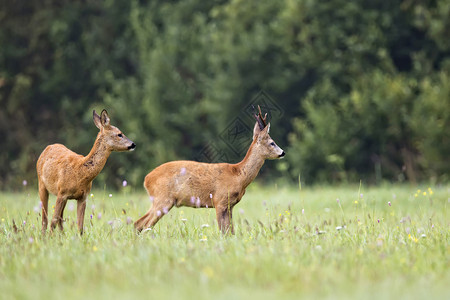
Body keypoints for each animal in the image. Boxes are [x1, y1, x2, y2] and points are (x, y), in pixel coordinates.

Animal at [134, 106, 284, 234]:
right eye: (272, 143)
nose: (283, 153)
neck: (239, 175)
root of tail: (146, 179)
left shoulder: (230, 205)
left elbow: (231, 232)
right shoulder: (219, 201)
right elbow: (223, 231)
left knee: (139, 224)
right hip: (162, 199)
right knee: (142, 224)